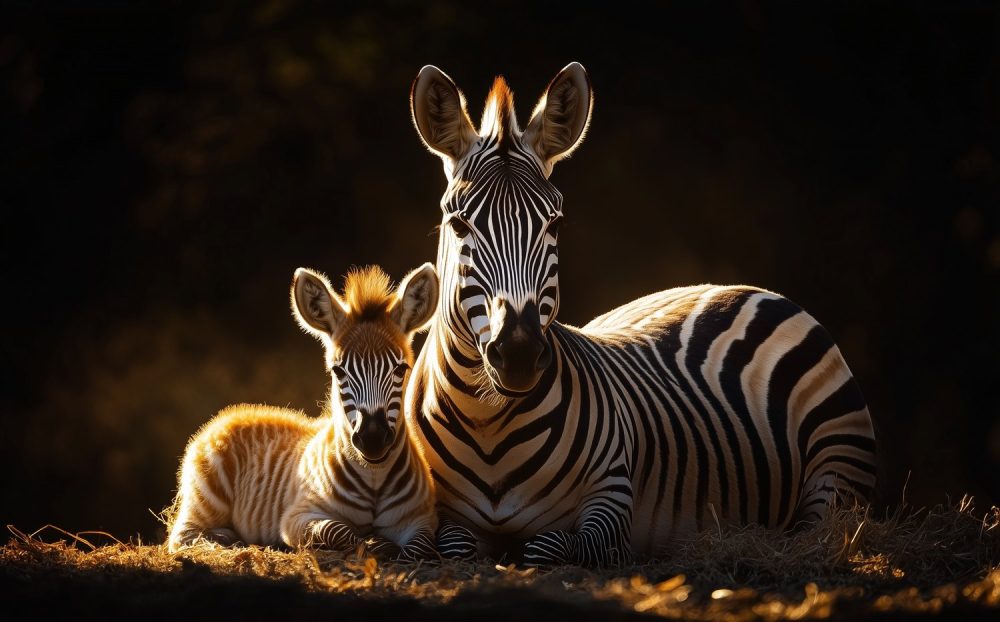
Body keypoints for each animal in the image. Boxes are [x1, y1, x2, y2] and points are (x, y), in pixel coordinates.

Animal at [167, 264, 440, 560]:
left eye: (401, 369)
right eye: (338, 371)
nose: (373, 439)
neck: (374, 477)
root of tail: (227, 416)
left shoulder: (422, 519)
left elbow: (421, 547)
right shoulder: (296, 517)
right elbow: (338, 531)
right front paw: (374, 543)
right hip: (204, 502)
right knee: (183, 537)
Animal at [405, 62, 879, 566]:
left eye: (555, 223)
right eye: (458, 224)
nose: (517, 354)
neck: (489, 423)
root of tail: (741, 288)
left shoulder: (612, 501)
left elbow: (547, 546)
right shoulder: (434, 512)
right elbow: (456, 545)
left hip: (837, 460)